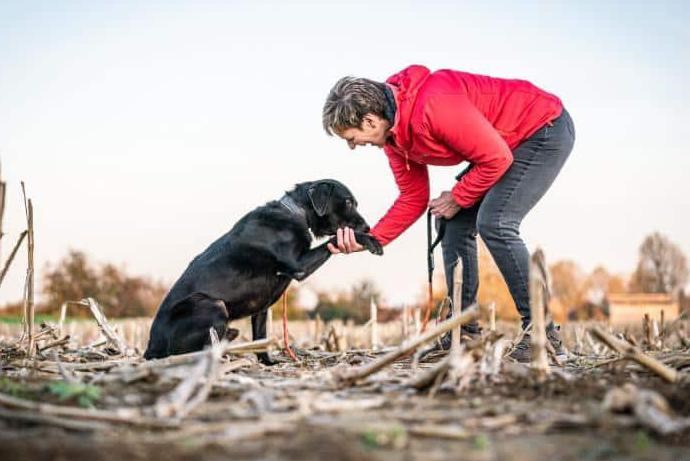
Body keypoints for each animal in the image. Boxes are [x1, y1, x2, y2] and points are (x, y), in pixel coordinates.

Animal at [143, 180, 382, 362]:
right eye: (348, 202)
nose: (368, 227)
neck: (295, 213)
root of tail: (150, 348)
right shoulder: (300, 266)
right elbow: (332, 241)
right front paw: (371, 241)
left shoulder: (262, 307)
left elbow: (260, 338)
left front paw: (268, 363)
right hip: (212, 303)